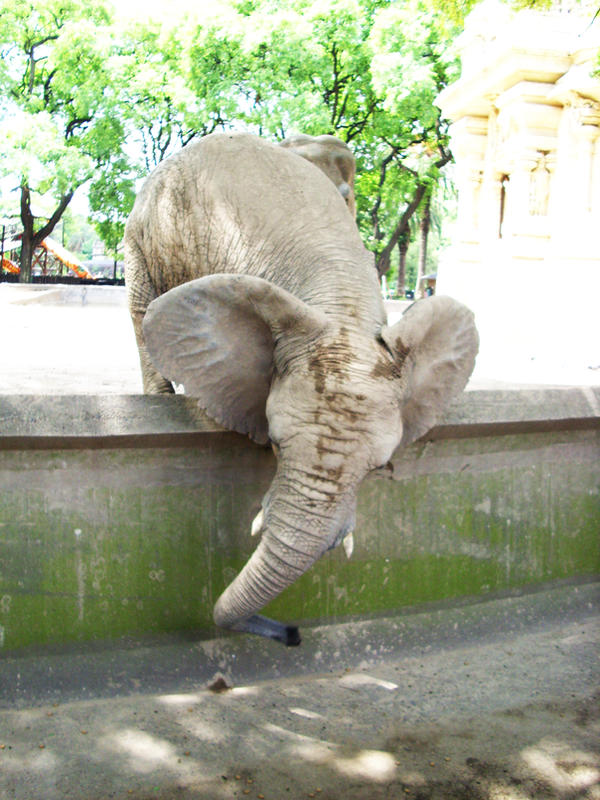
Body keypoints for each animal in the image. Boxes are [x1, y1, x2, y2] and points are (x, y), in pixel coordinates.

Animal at [124, 132, 479, 646]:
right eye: (272, 443)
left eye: (380, 469)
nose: (292, 633)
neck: (344, 311)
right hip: (142, 230)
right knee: (141, 307)